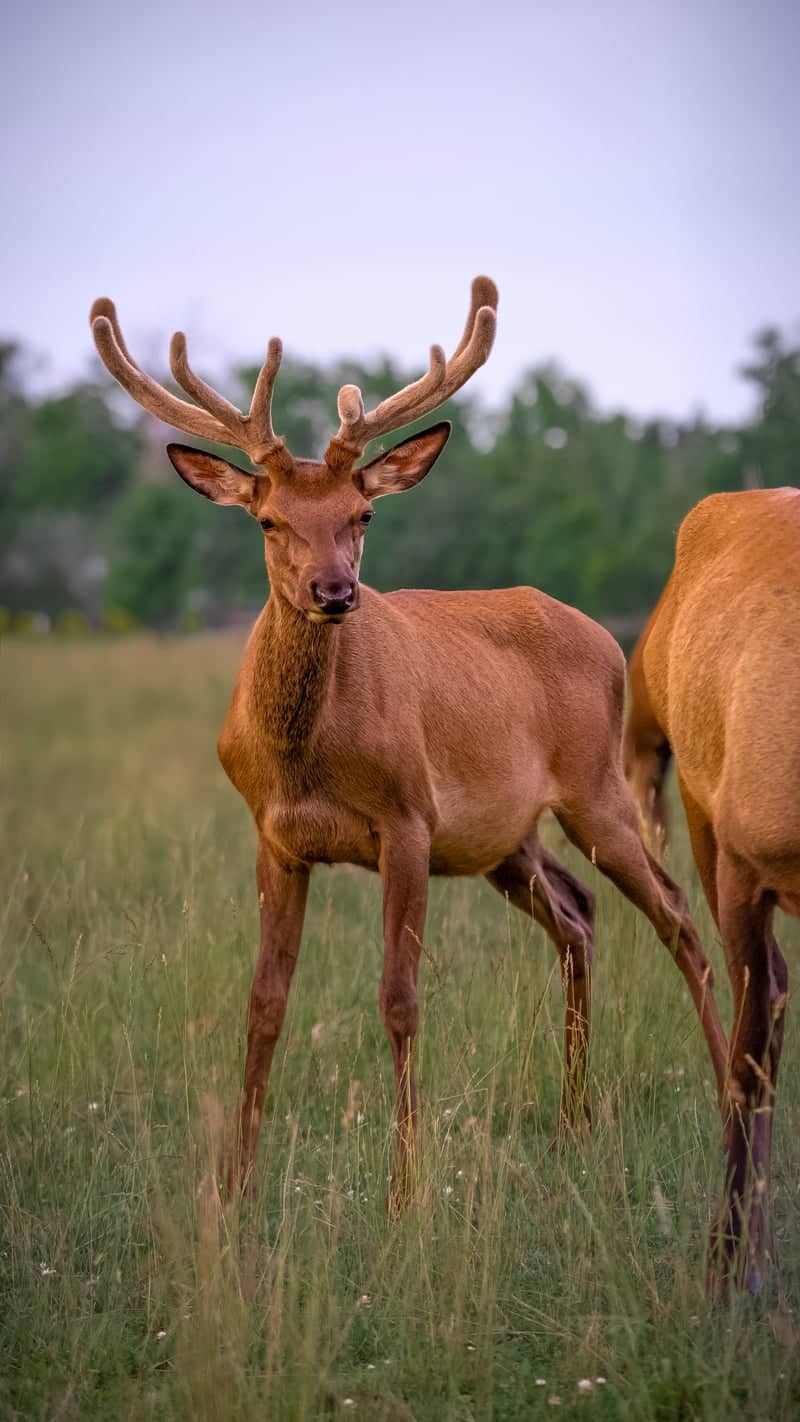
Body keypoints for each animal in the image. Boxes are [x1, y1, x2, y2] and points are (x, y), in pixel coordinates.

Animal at [90, 278, 729, 1210]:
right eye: (269, 520)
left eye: (362, 514)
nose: (335, 591)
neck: (304, 756)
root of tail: (613, 641)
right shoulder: (275, 838)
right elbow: (264, 1002)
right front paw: (236, 1183)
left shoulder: (409, 820)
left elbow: (399, 999)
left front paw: (405, 1185)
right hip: (507, 839)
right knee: (579, 914)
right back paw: (573, 1123)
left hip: (596, 787)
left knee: (678, 914)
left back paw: (732, 1094)